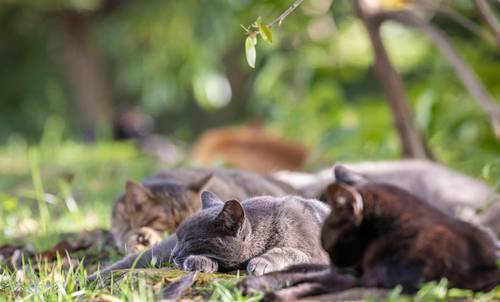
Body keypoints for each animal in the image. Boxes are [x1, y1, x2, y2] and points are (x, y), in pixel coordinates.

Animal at [88, 191, 330, 280]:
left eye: (188, 239)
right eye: (178, 238)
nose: (174, 253)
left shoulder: (315, 253)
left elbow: (288, 251)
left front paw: (261, 262)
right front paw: (199, 262)